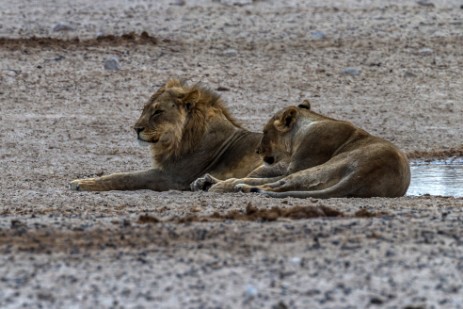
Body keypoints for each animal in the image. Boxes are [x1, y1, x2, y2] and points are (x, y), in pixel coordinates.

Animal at [70, 79, 276, 190]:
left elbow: (124, 177)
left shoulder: (171, 177)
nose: (136, 128)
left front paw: (82, 183)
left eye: (158, 112)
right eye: (144, 109)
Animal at [194, 101, 412, 197]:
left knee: (275, 185)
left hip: (318, 169)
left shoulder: (303, 160)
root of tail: (364, 176)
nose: (258, 151)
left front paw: (215, 183)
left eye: (265, 132)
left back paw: (234, 187)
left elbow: (254, 177)